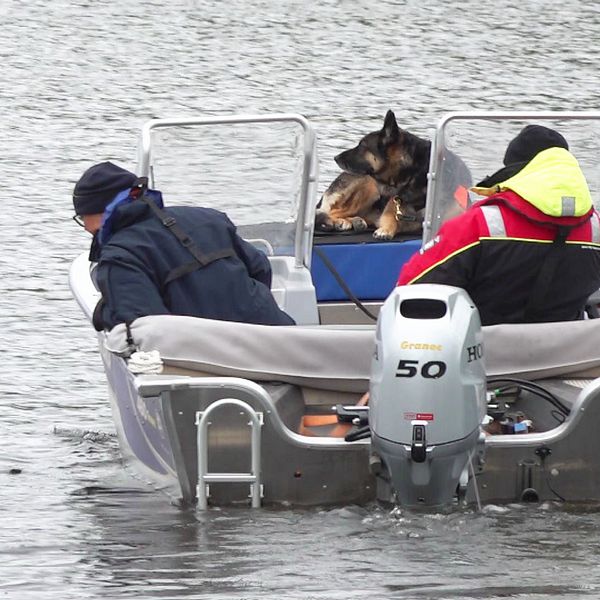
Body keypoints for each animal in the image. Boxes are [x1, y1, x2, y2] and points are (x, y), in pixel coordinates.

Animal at [314, 110, 468, 239]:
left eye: (362, 146)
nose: (335, 157)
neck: (415, 175)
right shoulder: (392, 208)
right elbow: (390, 219)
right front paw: (386, 230)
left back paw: (355, 221)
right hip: (366, 190)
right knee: (328, 212)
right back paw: (340, 222)